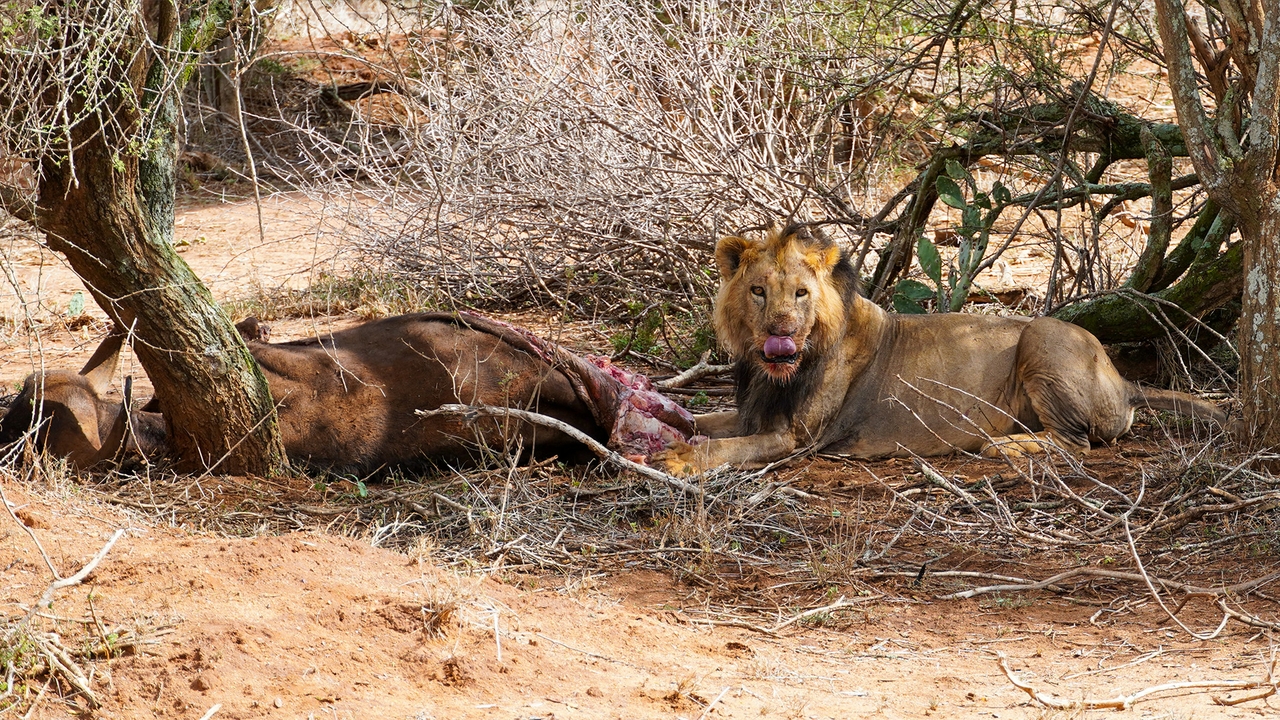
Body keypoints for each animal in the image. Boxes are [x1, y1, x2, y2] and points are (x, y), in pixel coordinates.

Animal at [656, 224, 1226, 473]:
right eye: (758, 291)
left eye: (800, 293)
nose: (783, 328)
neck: (774, 371)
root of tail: (1123, 381)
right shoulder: (754, 411)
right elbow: (702, 421)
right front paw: (664, 424)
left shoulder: (796, 437)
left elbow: (732, 448)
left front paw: (678, 458)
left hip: (1044, 336)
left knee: (1076, 442)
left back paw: (1003, 446)